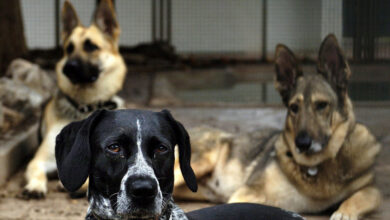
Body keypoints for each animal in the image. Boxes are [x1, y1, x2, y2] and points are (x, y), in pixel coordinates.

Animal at [22, 0, 126, 199]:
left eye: (91, 47)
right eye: (69, 48)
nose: (68, 68)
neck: (85, 106)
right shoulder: (40, 160)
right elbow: (37, 170)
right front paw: (35, 186)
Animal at [175, 34, 382, 220]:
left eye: (322, 105)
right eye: (294, 108)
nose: (302, 144)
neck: (315, 168)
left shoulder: (372, 189)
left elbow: (364, 196)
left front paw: (344, 212)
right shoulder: (246, 193)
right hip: (200, 162)